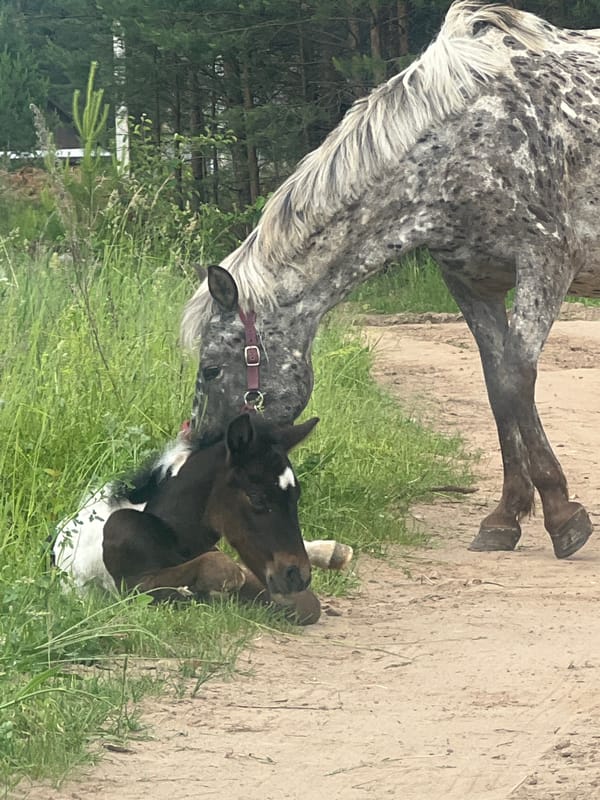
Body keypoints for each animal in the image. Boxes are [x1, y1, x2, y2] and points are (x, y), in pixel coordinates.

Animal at [53, 413, 353, 625]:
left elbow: (307, 607)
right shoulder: (132, 588)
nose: (297, 576)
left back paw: (332, 552)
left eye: (296, 495)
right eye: (257, 498)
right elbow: (220, 571)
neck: (168, 535)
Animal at [180, 1, 600, 560]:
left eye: (210, 370)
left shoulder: (545, 262)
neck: (468, 137)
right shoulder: (471, 283)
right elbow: (497, 387)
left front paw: (562, 515)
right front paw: (504, 517)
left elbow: (517, 380)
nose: (198, 463)